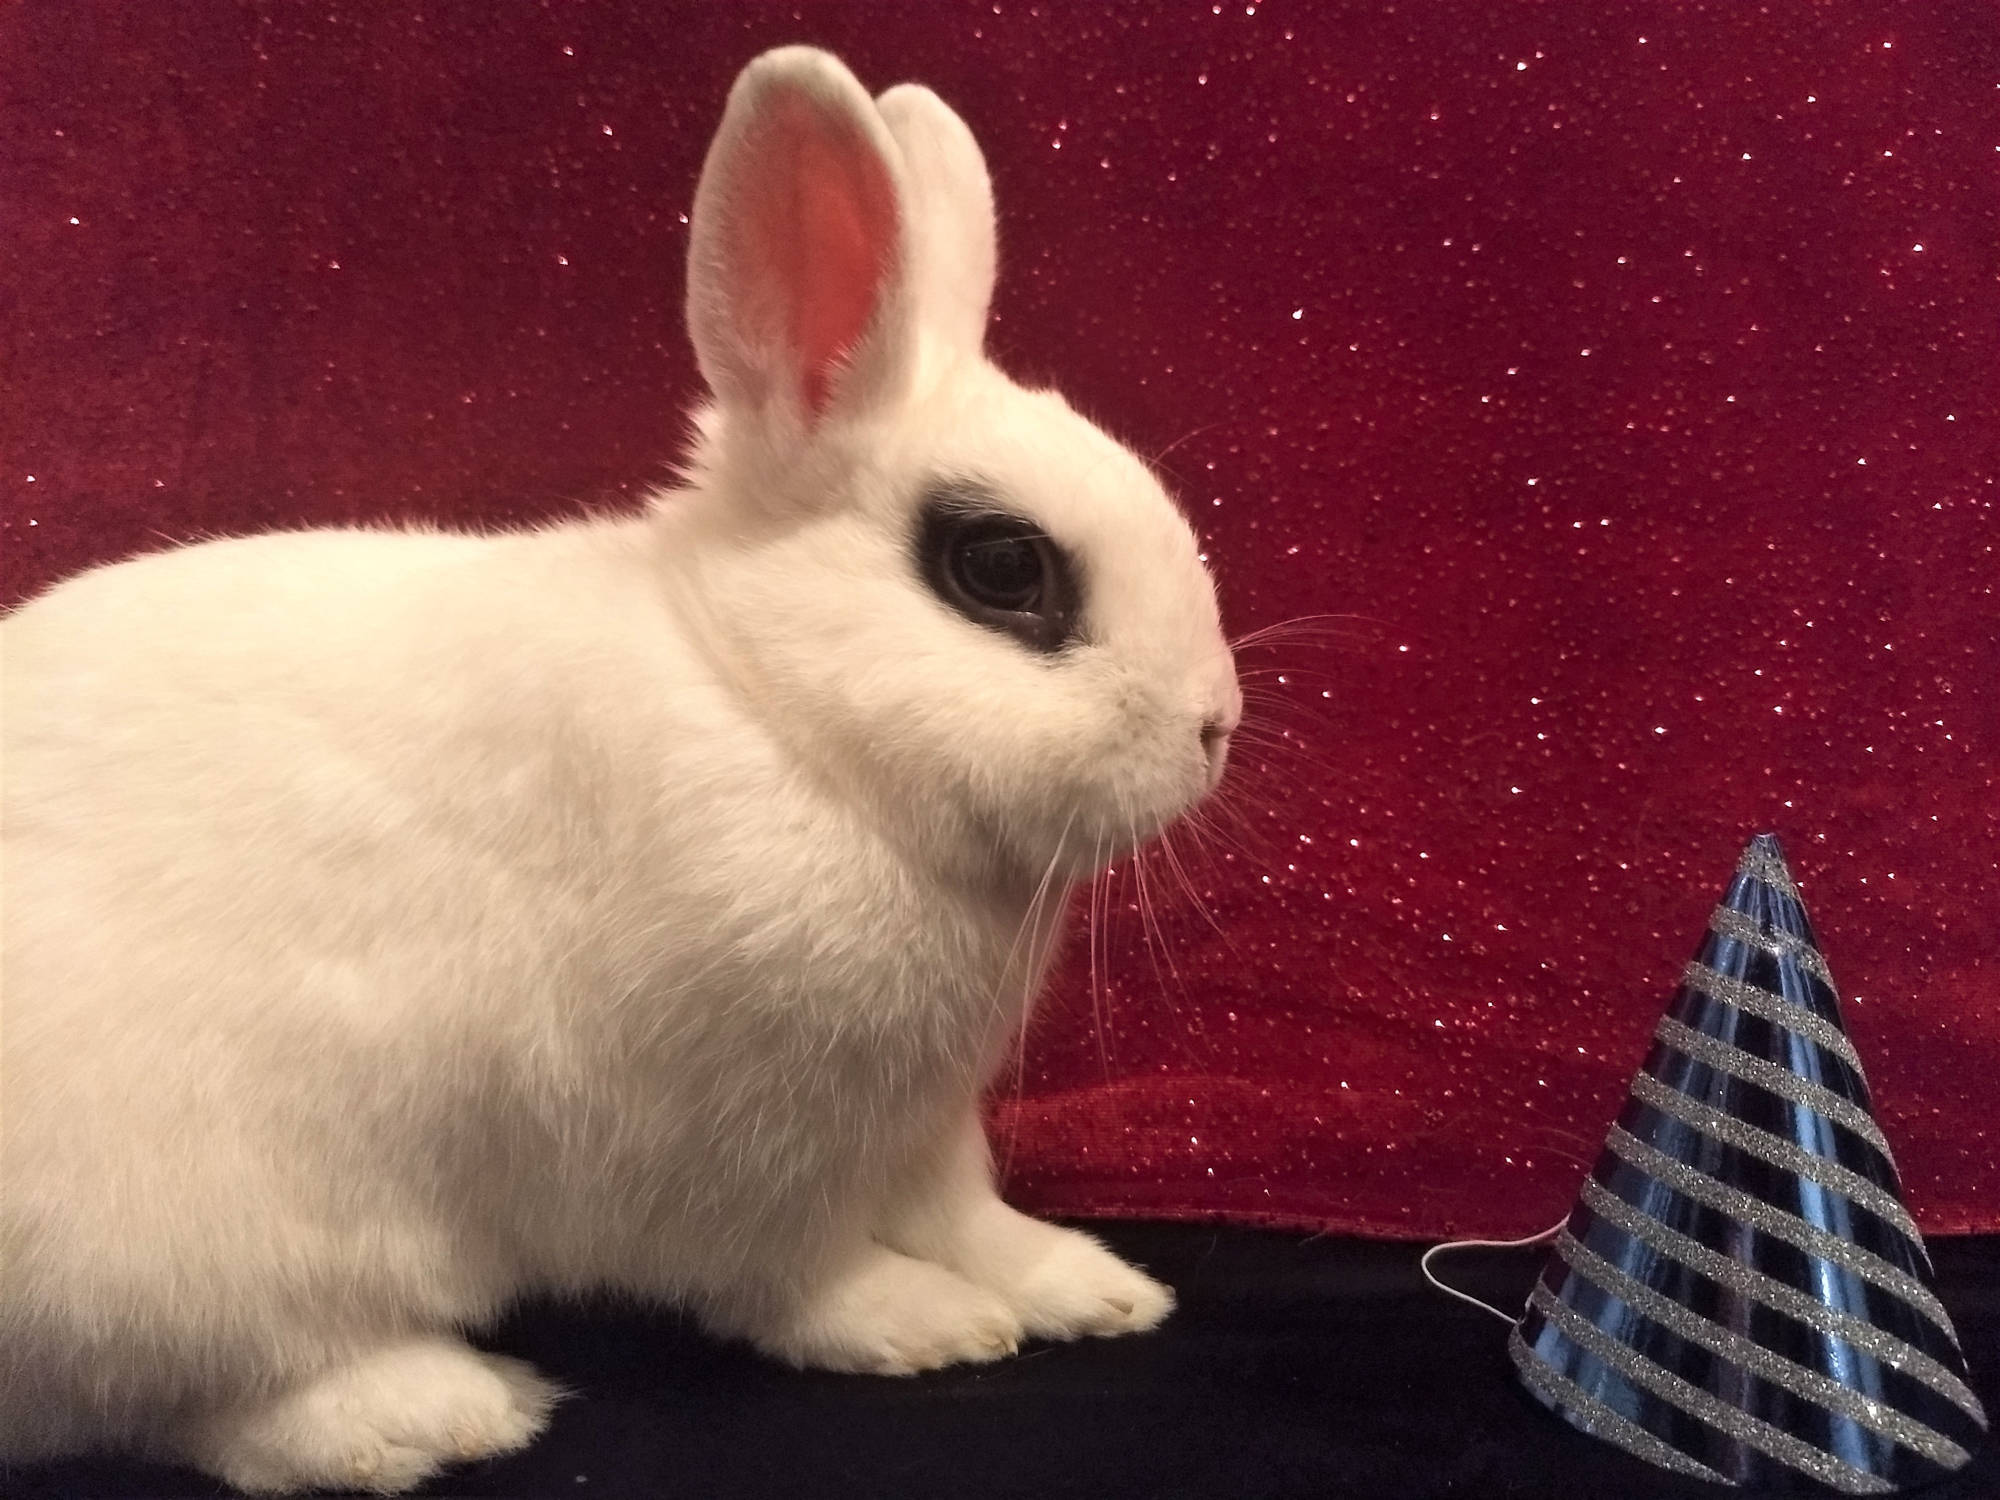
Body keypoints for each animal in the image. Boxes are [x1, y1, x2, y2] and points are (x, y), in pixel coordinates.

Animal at [0, 44, 1240, 1496]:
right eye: (999, 567)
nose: (1215, 727)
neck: (776, 716)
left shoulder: (922, 1122)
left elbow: (970, 1212)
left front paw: (1090, 1288)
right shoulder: (719, 1152)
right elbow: (792, 1278)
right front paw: (923, 1324)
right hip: (183, 1240)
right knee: (211, 1398)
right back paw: (439, 1408)